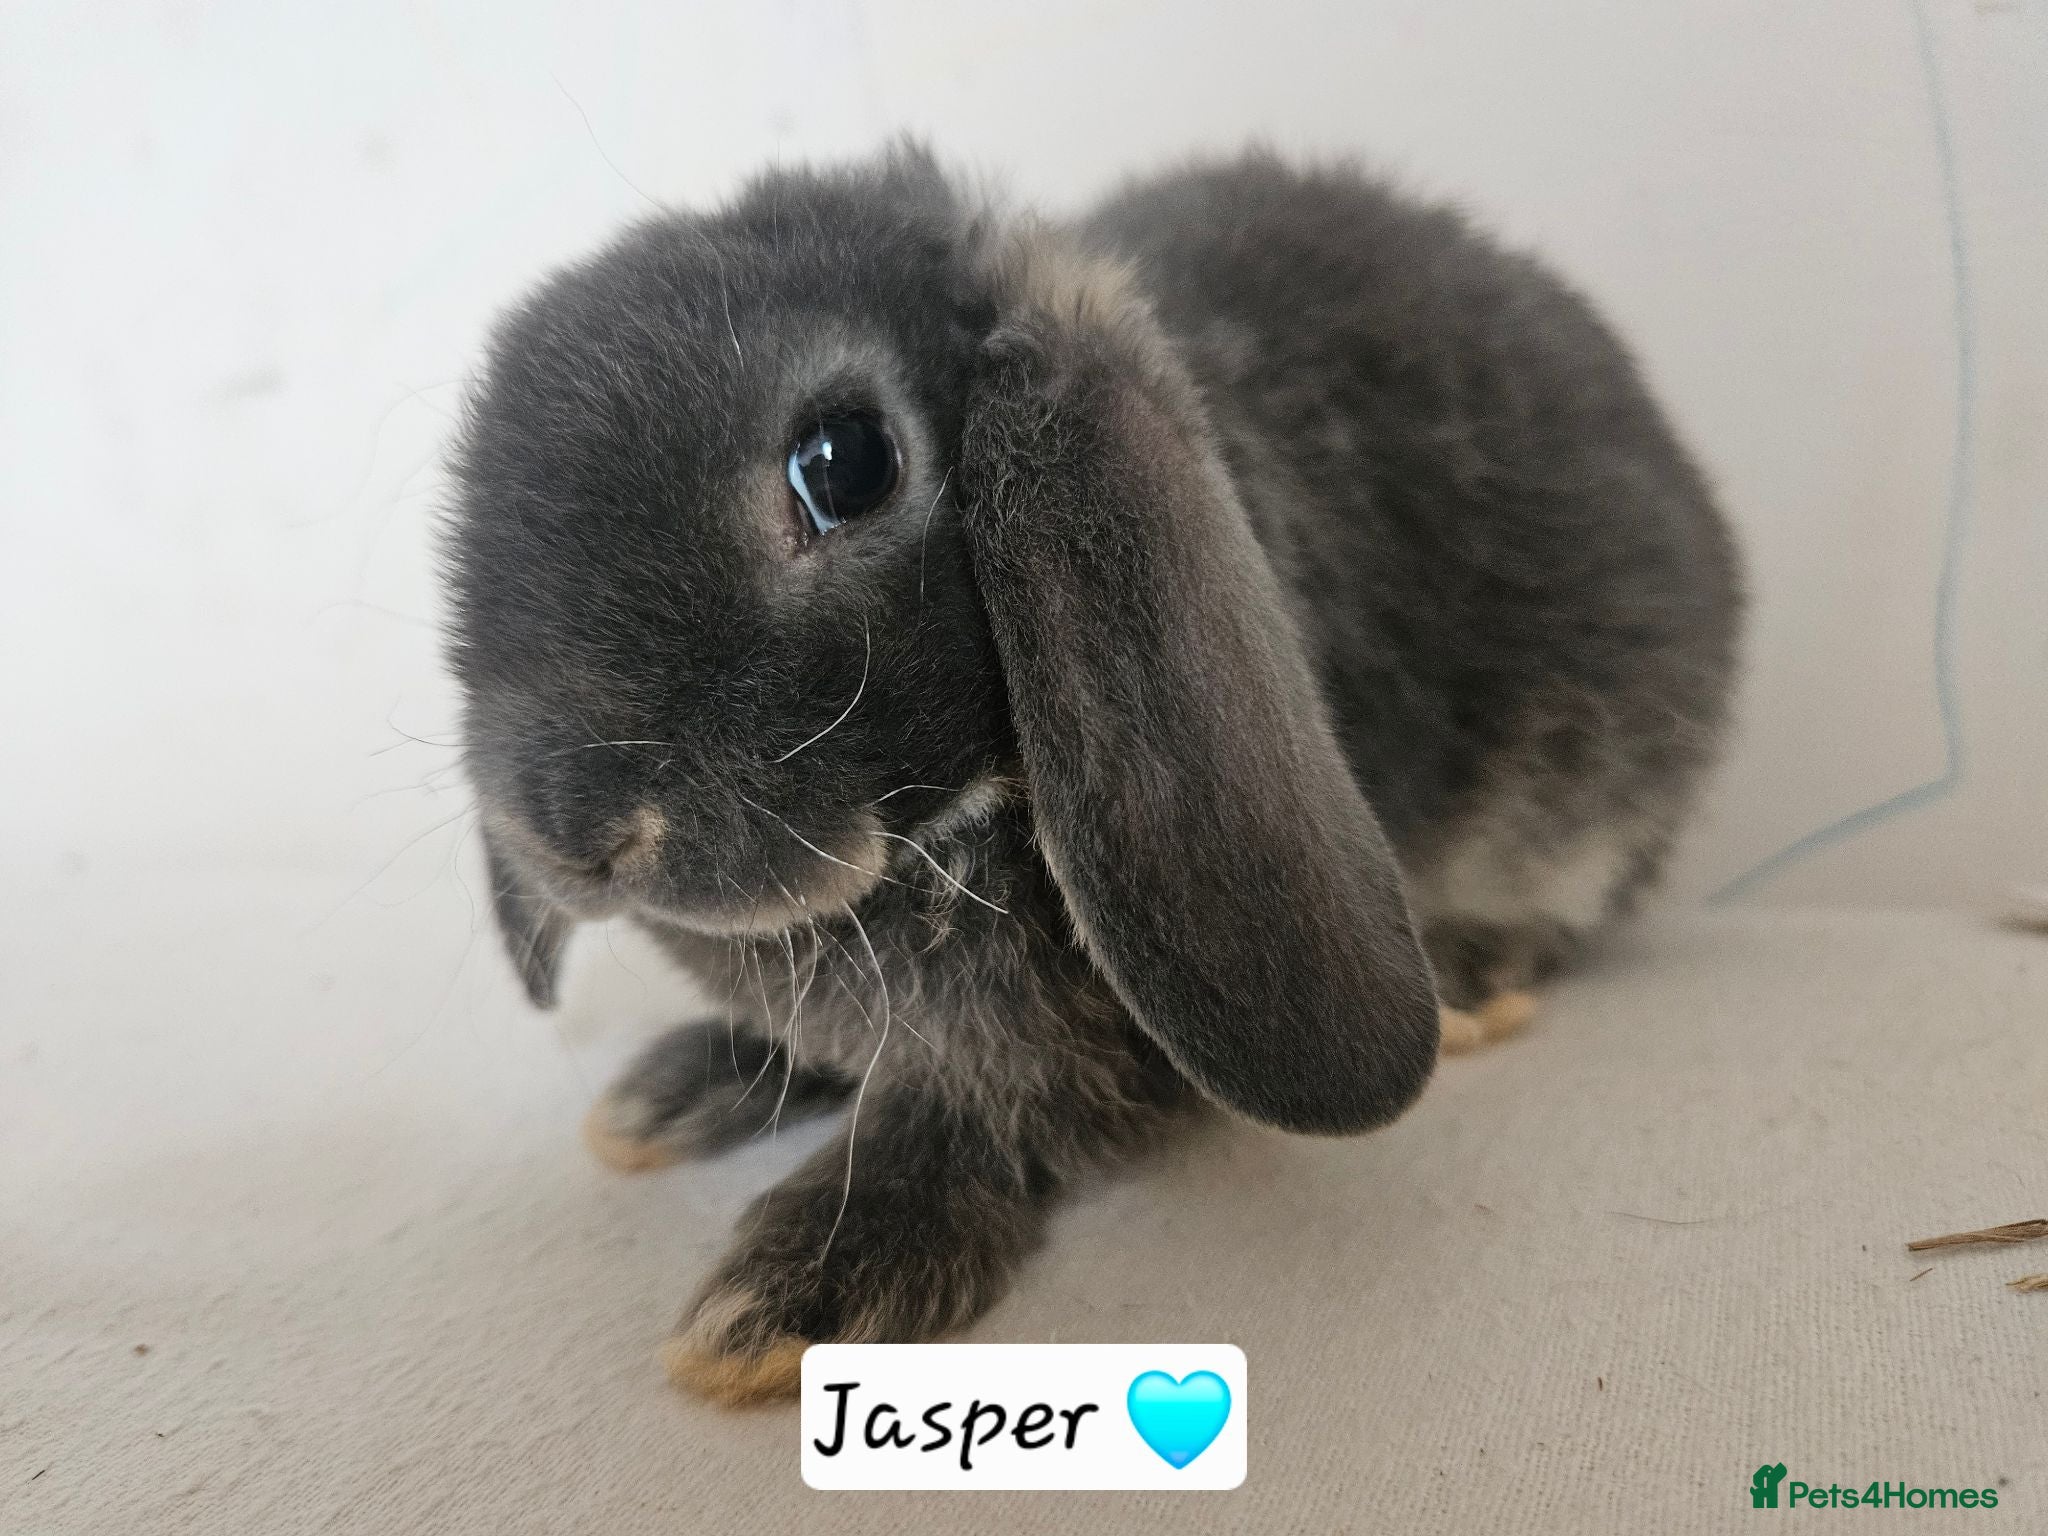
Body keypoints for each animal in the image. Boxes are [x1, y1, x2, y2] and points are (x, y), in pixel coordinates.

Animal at [442, 142, 1742, 1404]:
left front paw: (797, 1290)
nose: (573, 836)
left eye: (843, 464)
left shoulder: (1086, 1051)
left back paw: (1474, 974)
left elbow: (976, 1119)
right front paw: (692, 1084)